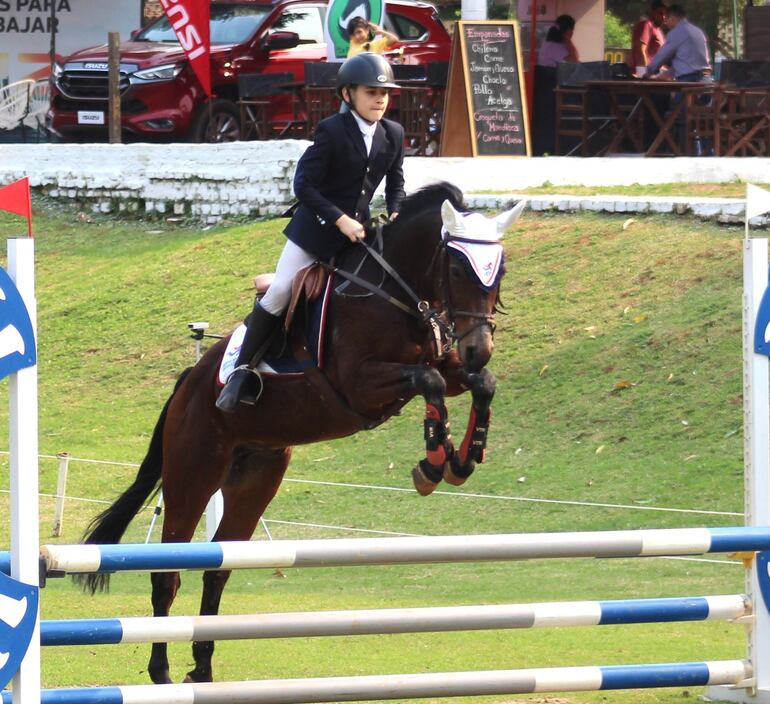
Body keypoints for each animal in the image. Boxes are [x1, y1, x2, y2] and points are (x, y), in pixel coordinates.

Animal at [76, 182, 520, 680]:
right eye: (459, 267)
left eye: (499, 270)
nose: (480, 347)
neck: (393, 292)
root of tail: (186, 386)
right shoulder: (360, 383)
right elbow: (429, 383)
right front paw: (435, 459)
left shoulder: (446, 366)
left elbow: (478, 383)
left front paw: (461, 458)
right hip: (192, 475)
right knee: (167, 573)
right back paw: (162, 672)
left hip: (255, 481)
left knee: (217, 568)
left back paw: (203, 669)